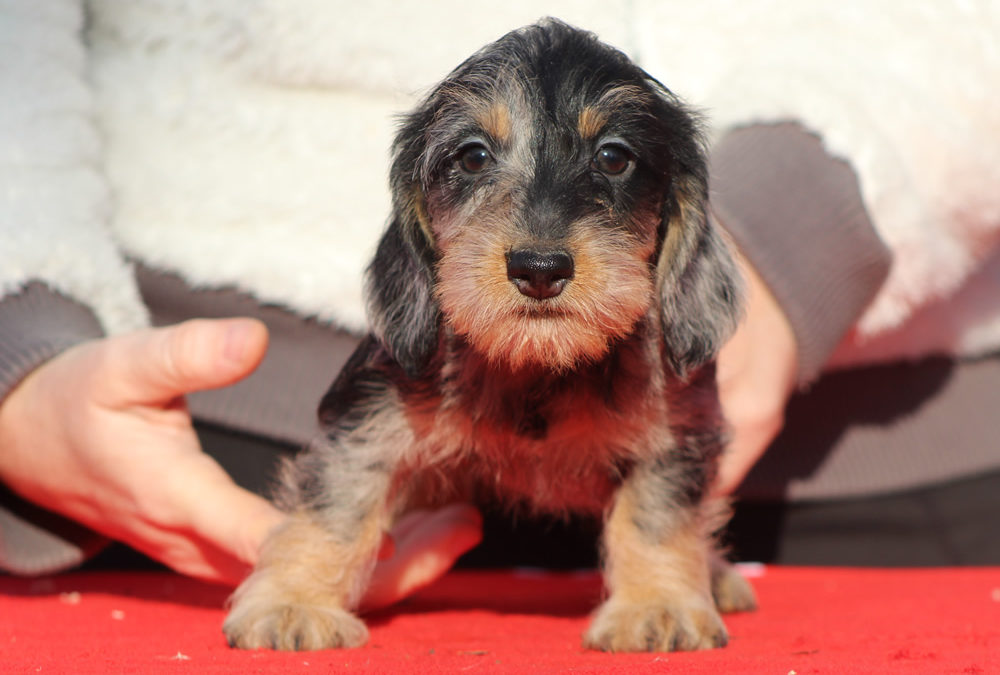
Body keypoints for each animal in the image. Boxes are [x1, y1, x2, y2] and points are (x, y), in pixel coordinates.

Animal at [227, 18, 752, 656]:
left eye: (613, 156)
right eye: (473, 155)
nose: (540, 268)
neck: (536, 368)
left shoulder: (674, 436)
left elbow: (653, 516)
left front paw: (659, 606)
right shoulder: (368, 419)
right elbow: (336, 504)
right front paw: (293, 601)